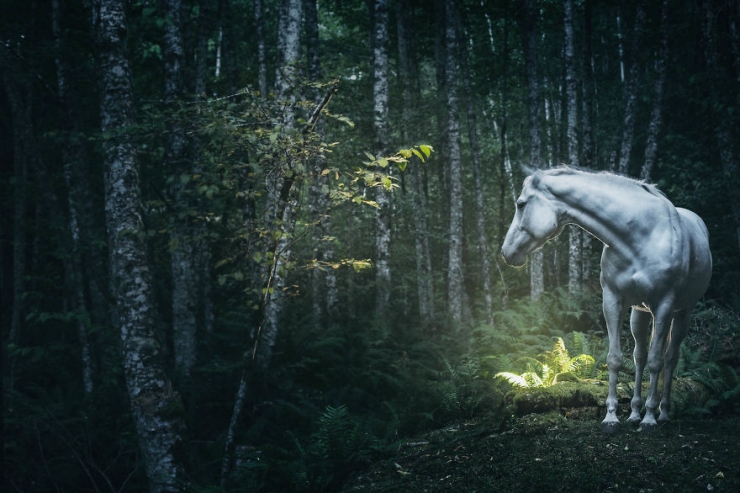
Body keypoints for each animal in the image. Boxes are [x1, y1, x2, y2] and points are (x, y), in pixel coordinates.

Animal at [501, 167, 712, 433]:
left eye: (520, 204)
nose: (506, 252)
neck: (640, 235)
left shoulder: (663, 305)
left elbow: (657, 362)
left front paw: (650, 419)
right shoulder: (612, 300)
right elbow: (615, 359)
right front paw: (611, 418)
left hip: (682, 313)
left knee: (670, 358)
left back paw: (661, 413)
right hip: (639, 314)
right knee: (639, 357)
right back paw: (634, 413)